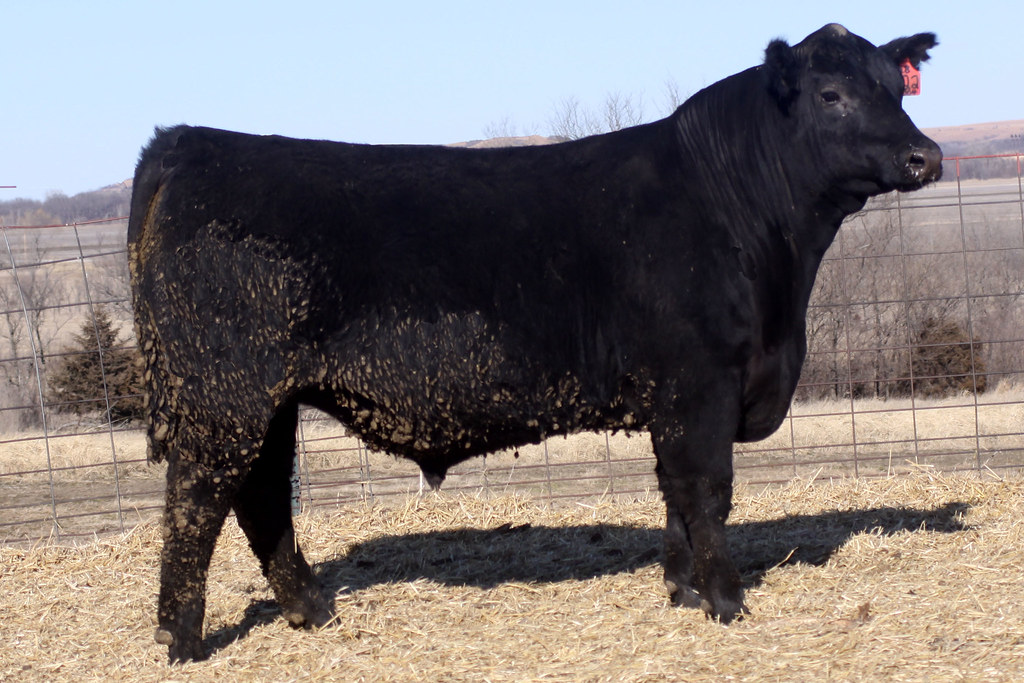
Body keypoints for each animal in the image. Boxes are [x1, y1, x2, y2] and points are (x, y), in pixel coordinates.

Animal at [128, 24, 942, 662]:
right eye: (831, 95)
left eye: (894, 89)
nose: (925, 157)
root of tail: (190, 144)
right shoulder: (700, 381)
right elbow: (707, 490)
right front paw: (726, 600)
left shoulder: (676, 395)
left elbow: (674, 492)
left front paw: (679, 589)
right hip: (225, 393)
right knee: (199, 496)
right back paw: (182, 638)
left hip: (266, 398)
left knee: (260, 492)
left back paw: (311, 609)